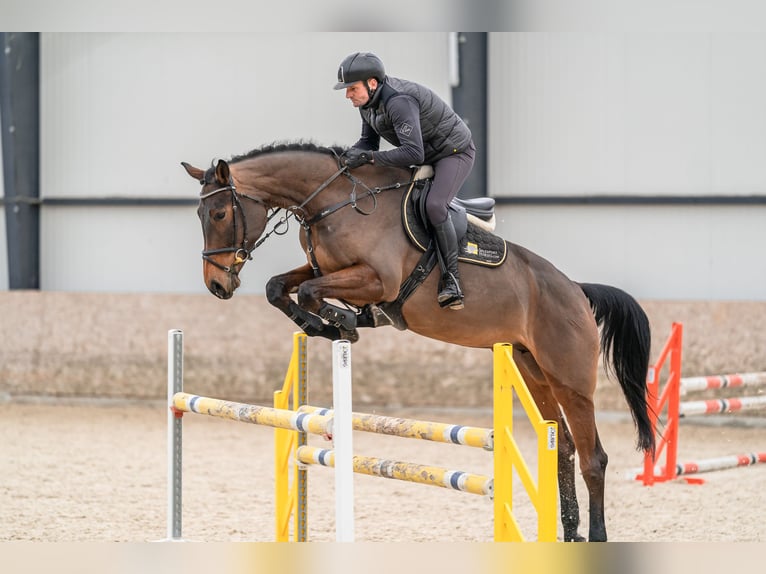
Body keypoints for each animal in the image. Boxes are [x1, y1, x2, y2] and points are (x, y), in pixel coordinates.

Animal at [182, 141, 655, 542]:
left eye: (219, 214)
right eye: (202, 216)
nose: (217, 285)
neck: (334, 201)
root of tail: (576, 289)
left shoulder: (376, 280)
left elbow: (313, 292)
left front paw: (341, 322)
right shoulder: (324, 269)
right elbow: (280, 287)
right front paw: (325, 324)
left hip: (571, 379)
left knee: (594, 458)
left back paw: (596, 535)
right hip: (532, 370)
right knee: (565, 448)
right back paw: (570, 532)